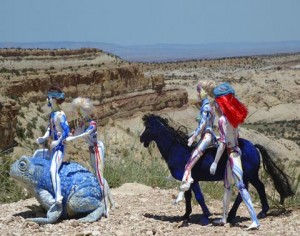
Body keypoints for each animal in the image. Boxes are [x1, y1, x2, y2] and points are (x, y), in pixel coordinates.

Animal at [140, 114, 292, 225]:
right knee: (252, 189)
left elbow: (199, 197)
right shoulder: (187, 179)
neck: (177, 150)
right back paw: (240, 214)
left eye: (148, 127)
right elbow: (189, 197)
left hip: (249, 174)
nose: (141, 139)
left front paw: (206, 216)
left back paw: (254, 213)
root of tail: (253, 146)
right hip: (248, 175)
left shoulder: (193, 180)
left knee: (255, 188)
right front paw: (186, 215)